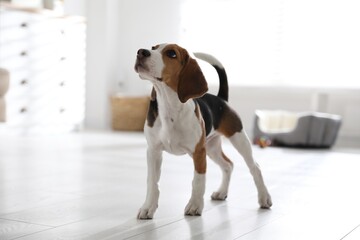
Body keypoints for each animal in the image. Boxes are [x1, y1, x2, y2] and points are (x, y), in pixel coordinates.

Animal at [135, 43, 272, 219]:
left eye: (171, 54)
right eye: (153, 47)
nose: (141, 52)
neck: (169, 106)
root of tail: (221, 98)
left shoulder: (198, 152)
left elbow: (198, 181)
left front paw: (194, 206)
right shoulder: (153, 151)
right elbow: (152, 182)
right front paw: (148, 207)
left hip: (239, 139)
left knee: (255, 168)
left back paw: (264, 198)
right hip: (212, 148)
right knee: (228, 165)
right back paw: (222, 192)